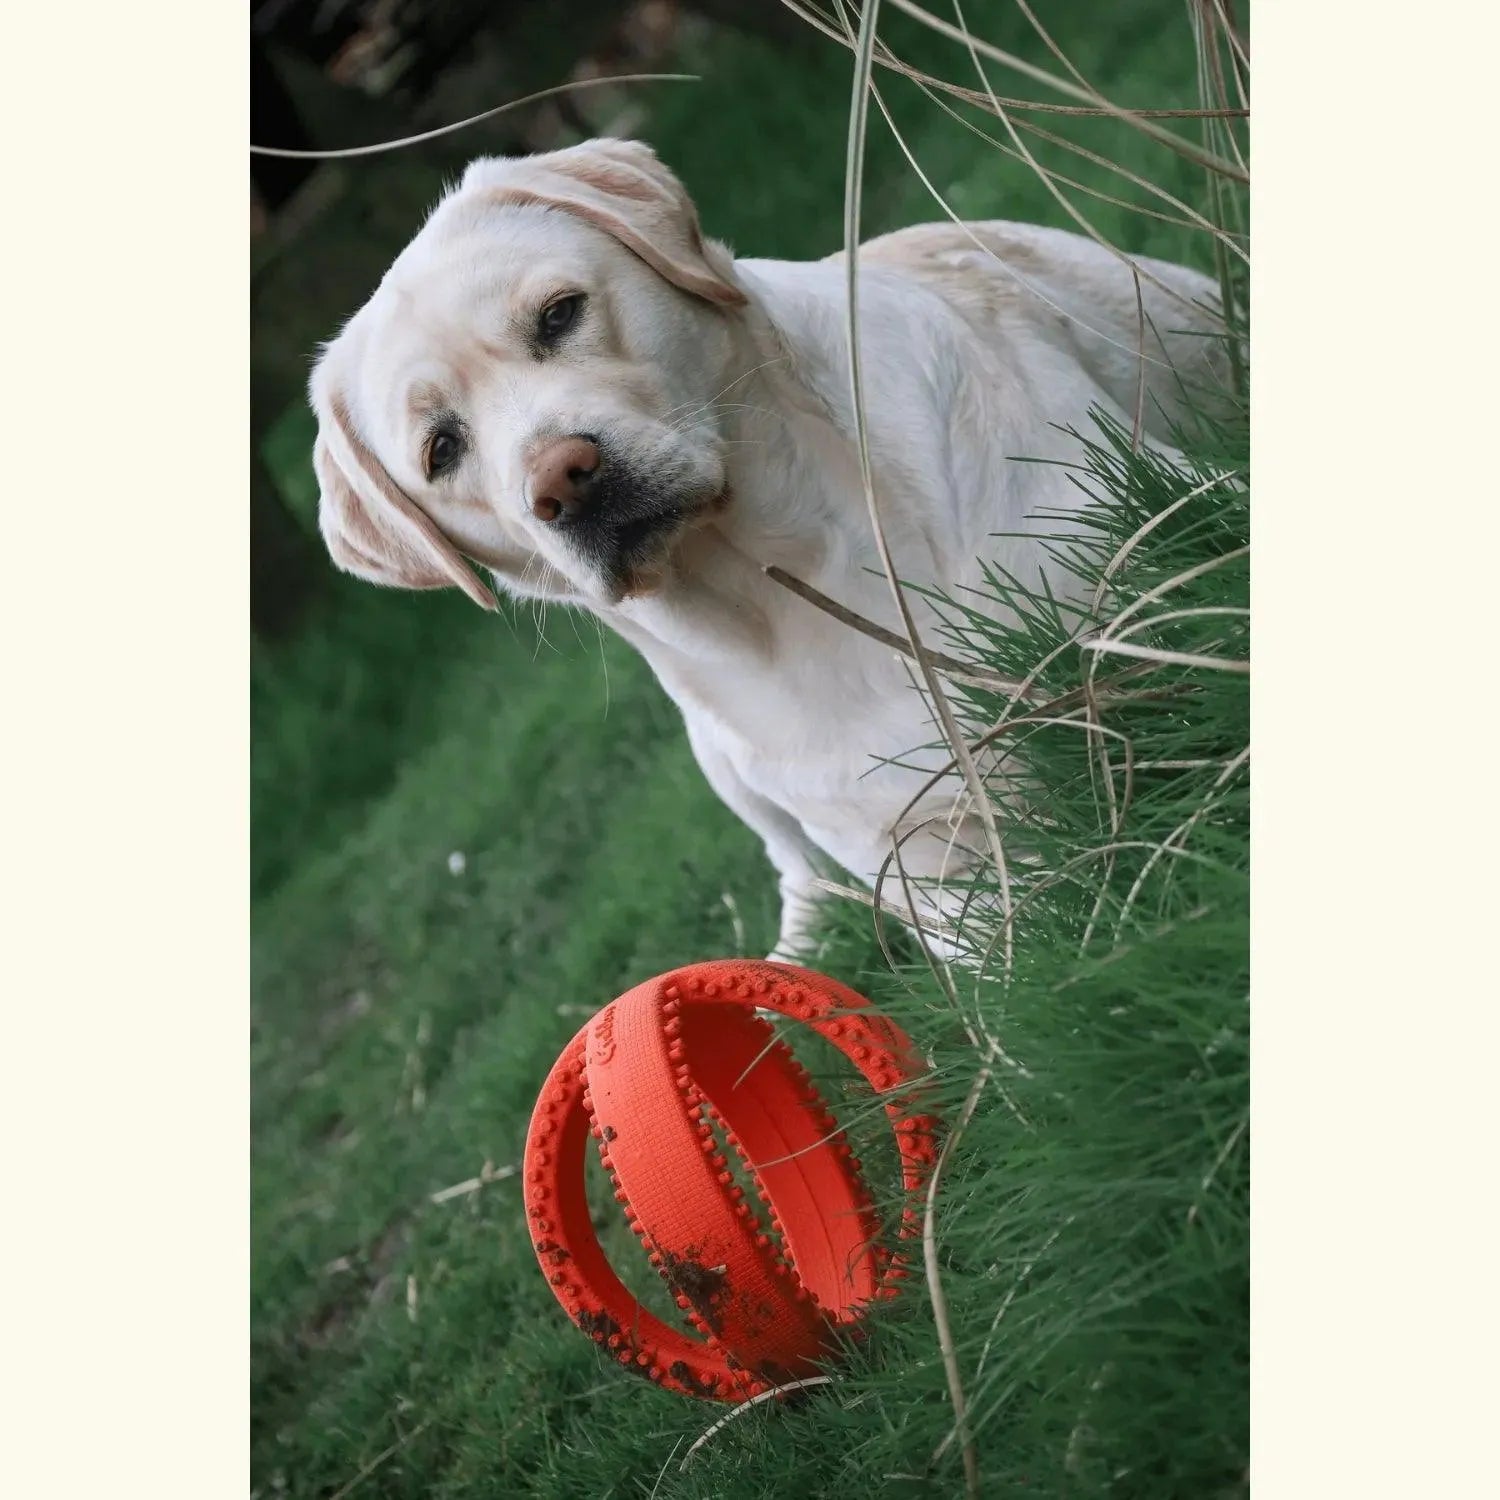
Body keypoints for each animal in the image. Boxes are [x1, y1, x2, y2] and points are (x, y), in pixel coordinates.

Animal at [310, 141, 1224, 960]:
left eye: (560, 314)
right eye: (441, 449)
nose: (562, 481)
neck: (796, 579)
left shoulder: (1171, 539)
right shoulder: (929, 859)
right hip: (717, 757)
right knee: (790, 861)